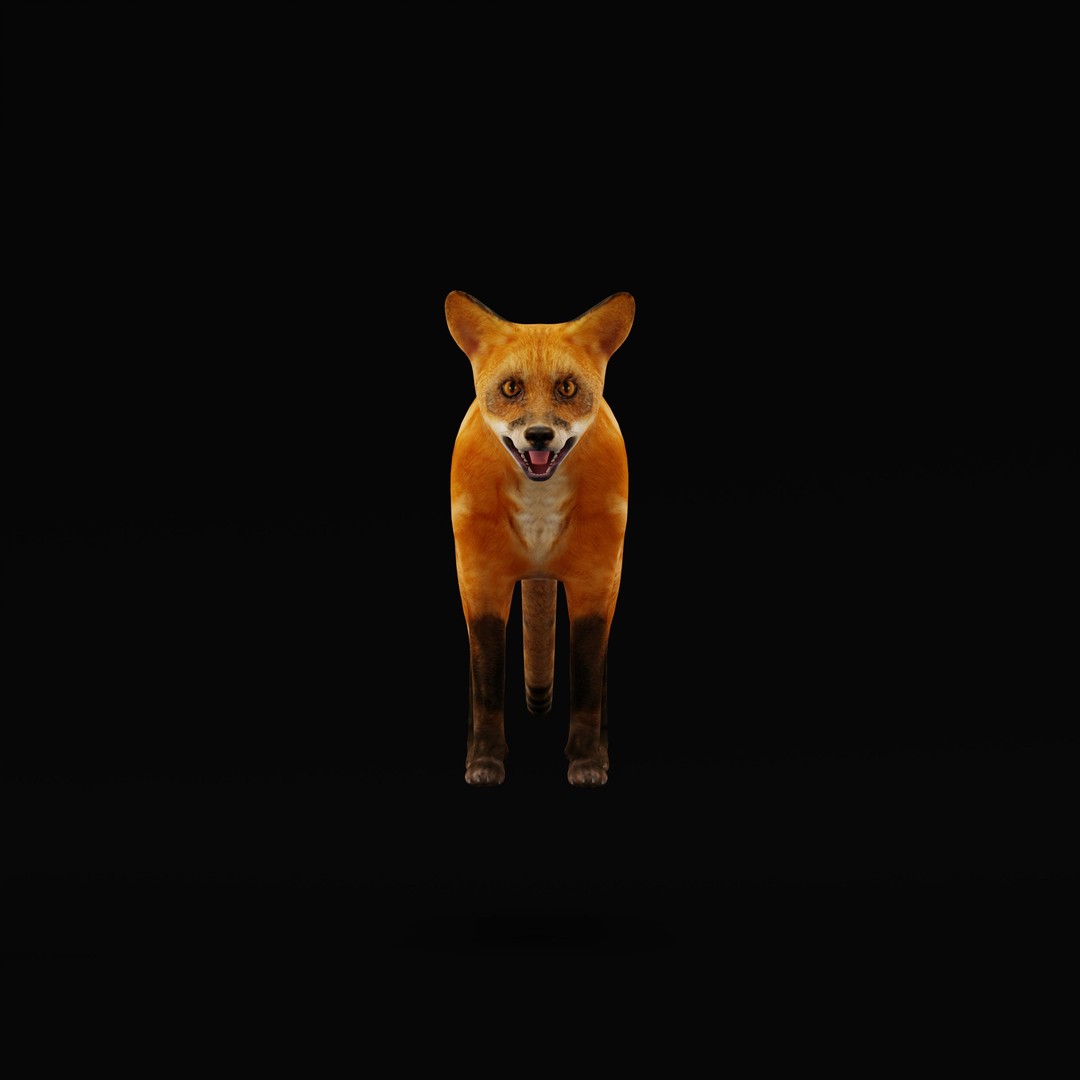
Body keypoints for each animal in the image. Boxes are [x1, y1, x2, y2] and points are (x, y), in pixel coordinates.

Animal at [446, 290, 635, 787]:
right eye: (511, 389)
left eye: (566, 389)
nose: (538, 435)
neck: (539, 515)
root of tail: (539, 566)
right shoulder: (481, 581)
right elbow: (487, 685)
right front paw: (484, 761)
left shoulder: (595, 582)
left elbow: (587, 684)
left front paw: (587, 761)